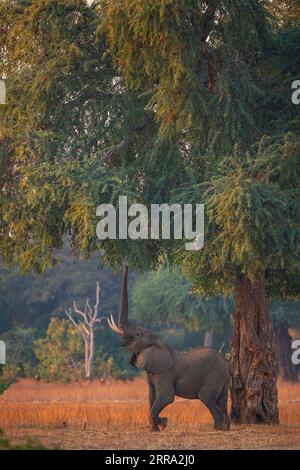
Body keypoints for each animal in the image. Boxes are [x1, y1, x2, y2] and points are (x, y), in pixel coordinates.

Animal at [108, 266, 230, 432]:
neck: (158, 342)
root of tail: (227, 364)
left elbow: (166, 397)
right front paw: (154, 429)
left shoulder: (164, 372)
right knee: (221, 401)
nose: (126, 265)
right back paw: (226, 427)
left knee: (207, 398)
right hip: (222, 381)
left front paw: (164, 423)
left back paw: (218, 428)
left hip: (214, 376)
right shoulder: (152, 373)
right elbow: (151, 398)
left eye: (138, 334)